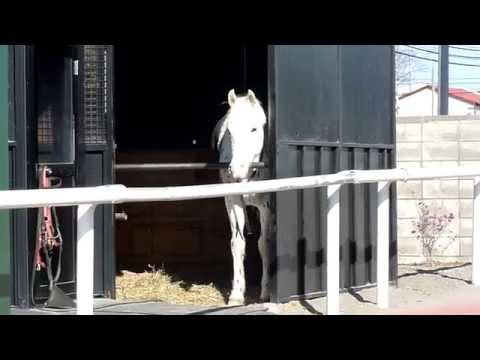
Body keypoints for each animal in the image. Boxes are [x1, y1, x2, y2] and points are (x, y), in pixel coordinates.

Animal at [212, 88, 272, 306]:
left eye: (254, 129)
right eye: (229, 130)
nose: (236, 171)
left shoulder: (266, 205)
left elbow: (264, 243)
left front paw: (266, 291)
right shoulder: (233, 201)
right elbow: (238, 243)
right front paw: (237, 293)